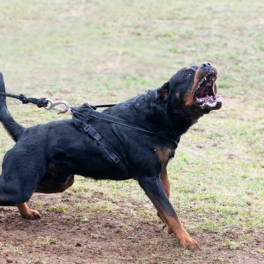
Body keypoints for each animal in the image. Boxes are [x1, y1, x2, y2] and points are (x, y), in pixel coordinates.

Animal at [0, 63, 223, 251]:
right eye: (187, 73)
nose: (207, 64)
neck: (158, 115)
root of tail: (24, 132)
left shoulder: (161, 170)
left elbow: (166, 201)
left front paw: (168, 227)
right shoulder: (149, 178)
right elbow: (170, 210)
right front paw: (187, 240)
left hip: (58, 181)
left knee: (27, 195)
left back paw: (27, 213)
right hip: (20, 186)